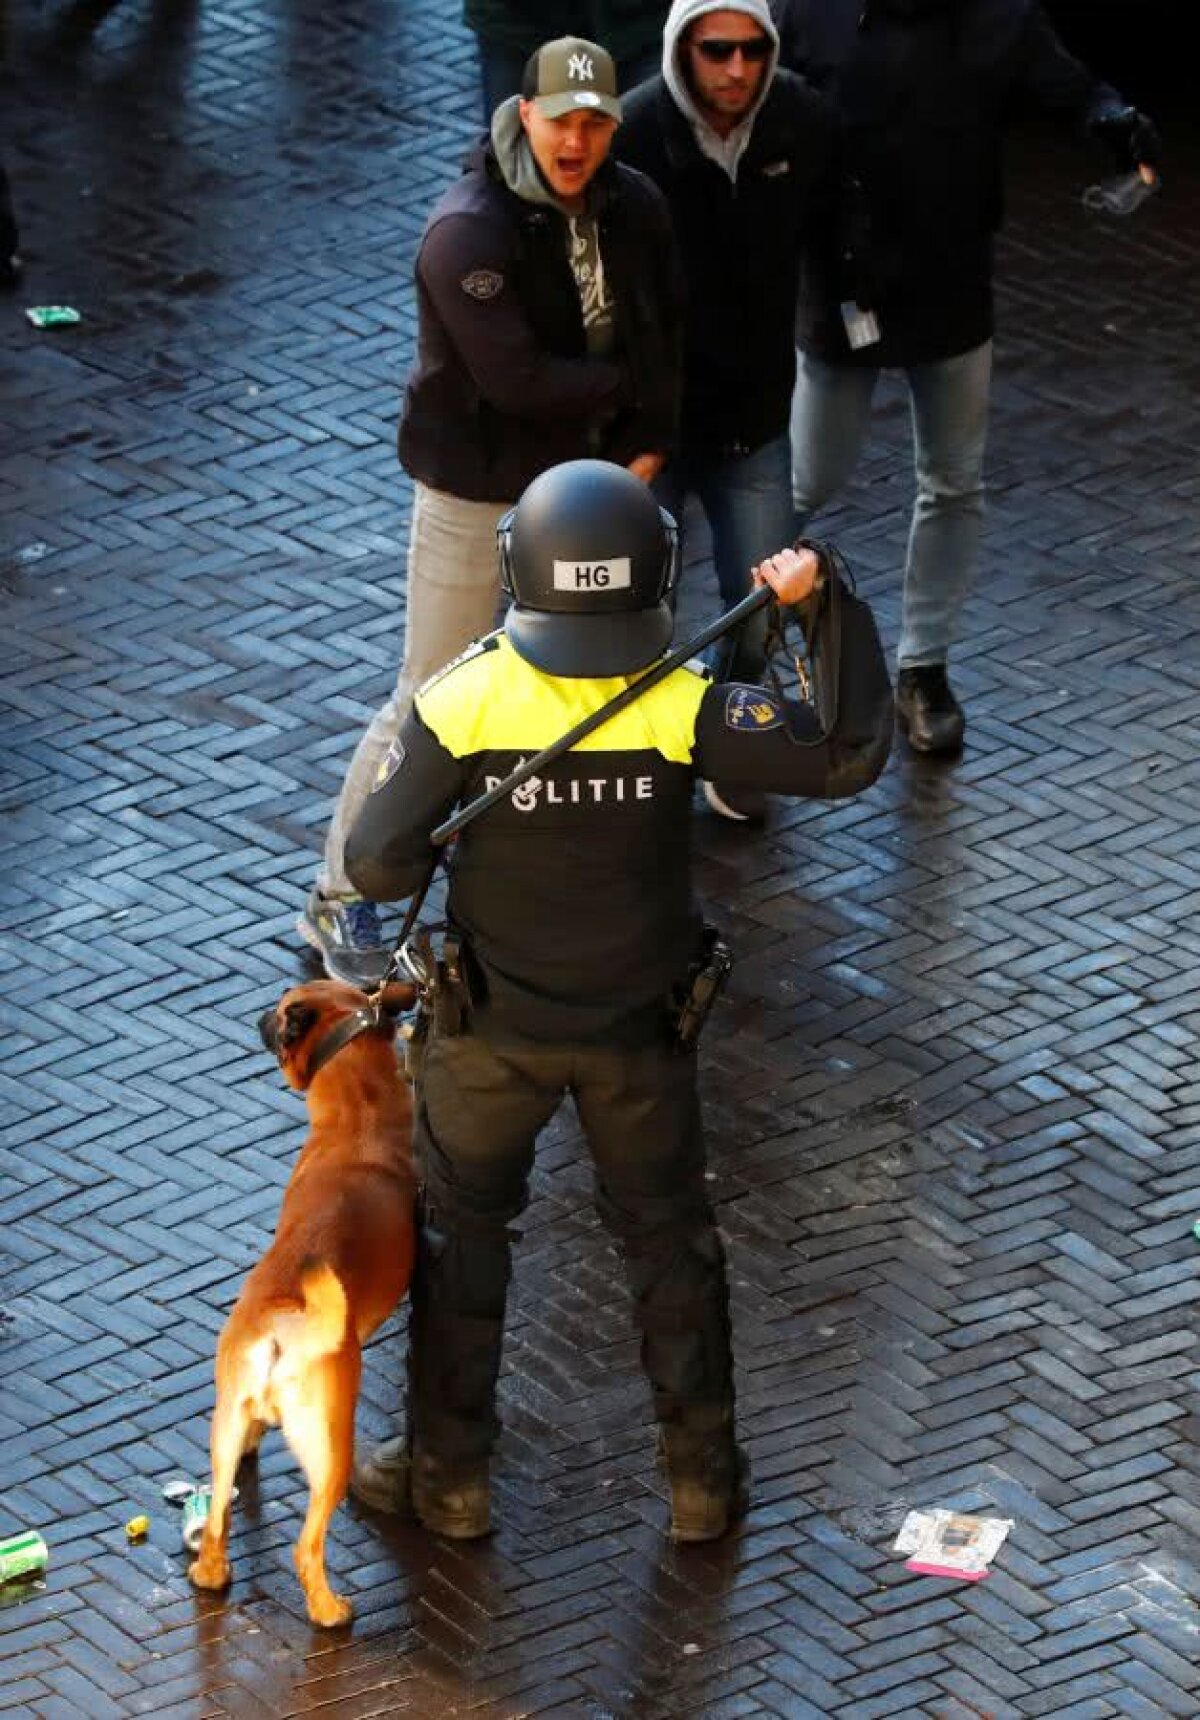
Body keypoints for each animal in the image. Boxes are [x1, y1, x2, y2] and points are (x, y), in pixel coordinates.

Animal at [189, 983, 417, 1623]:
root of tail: (280, 1331)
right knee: (306, 1546)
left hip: (225, 1425)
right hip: (331, 1450)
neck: (359, 1117)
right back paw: (329, 1611)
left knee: (218, 1517)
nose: (261, 1016)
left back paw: (211, 1574)